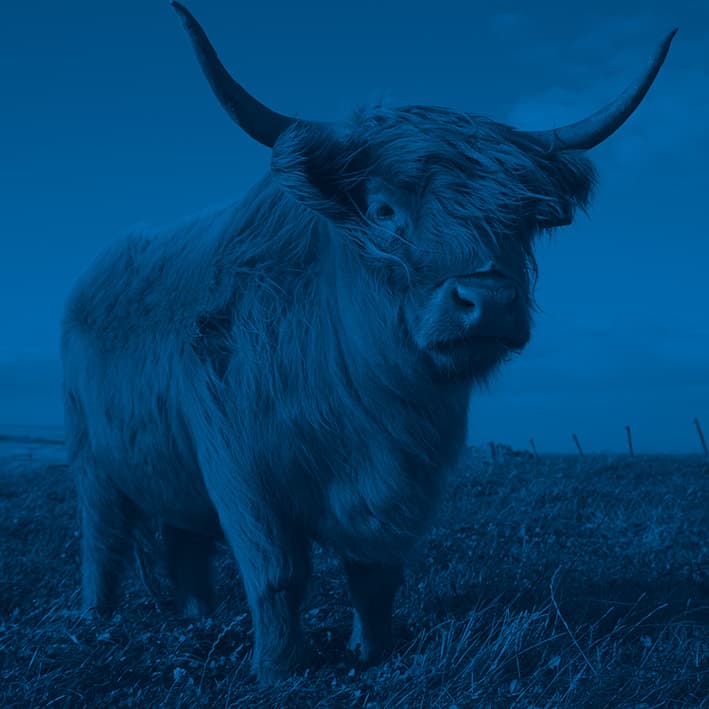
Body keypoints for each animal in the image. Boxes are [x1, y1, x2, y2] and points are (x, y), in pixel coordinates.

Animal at [60, 0, 676, 684]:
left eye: (519, 221)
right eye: (382, 210)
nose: (487, 301)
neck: (366, 396)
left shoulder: (403, 482)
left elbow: (376, 573)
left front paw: (374, 651)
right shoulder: (240, 466)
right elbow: (278, 572)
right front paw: (280, 668)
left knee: (183, 539)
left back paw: (197, 620)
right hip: (90, 455)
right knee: (103, 538)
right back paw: (95, 620)